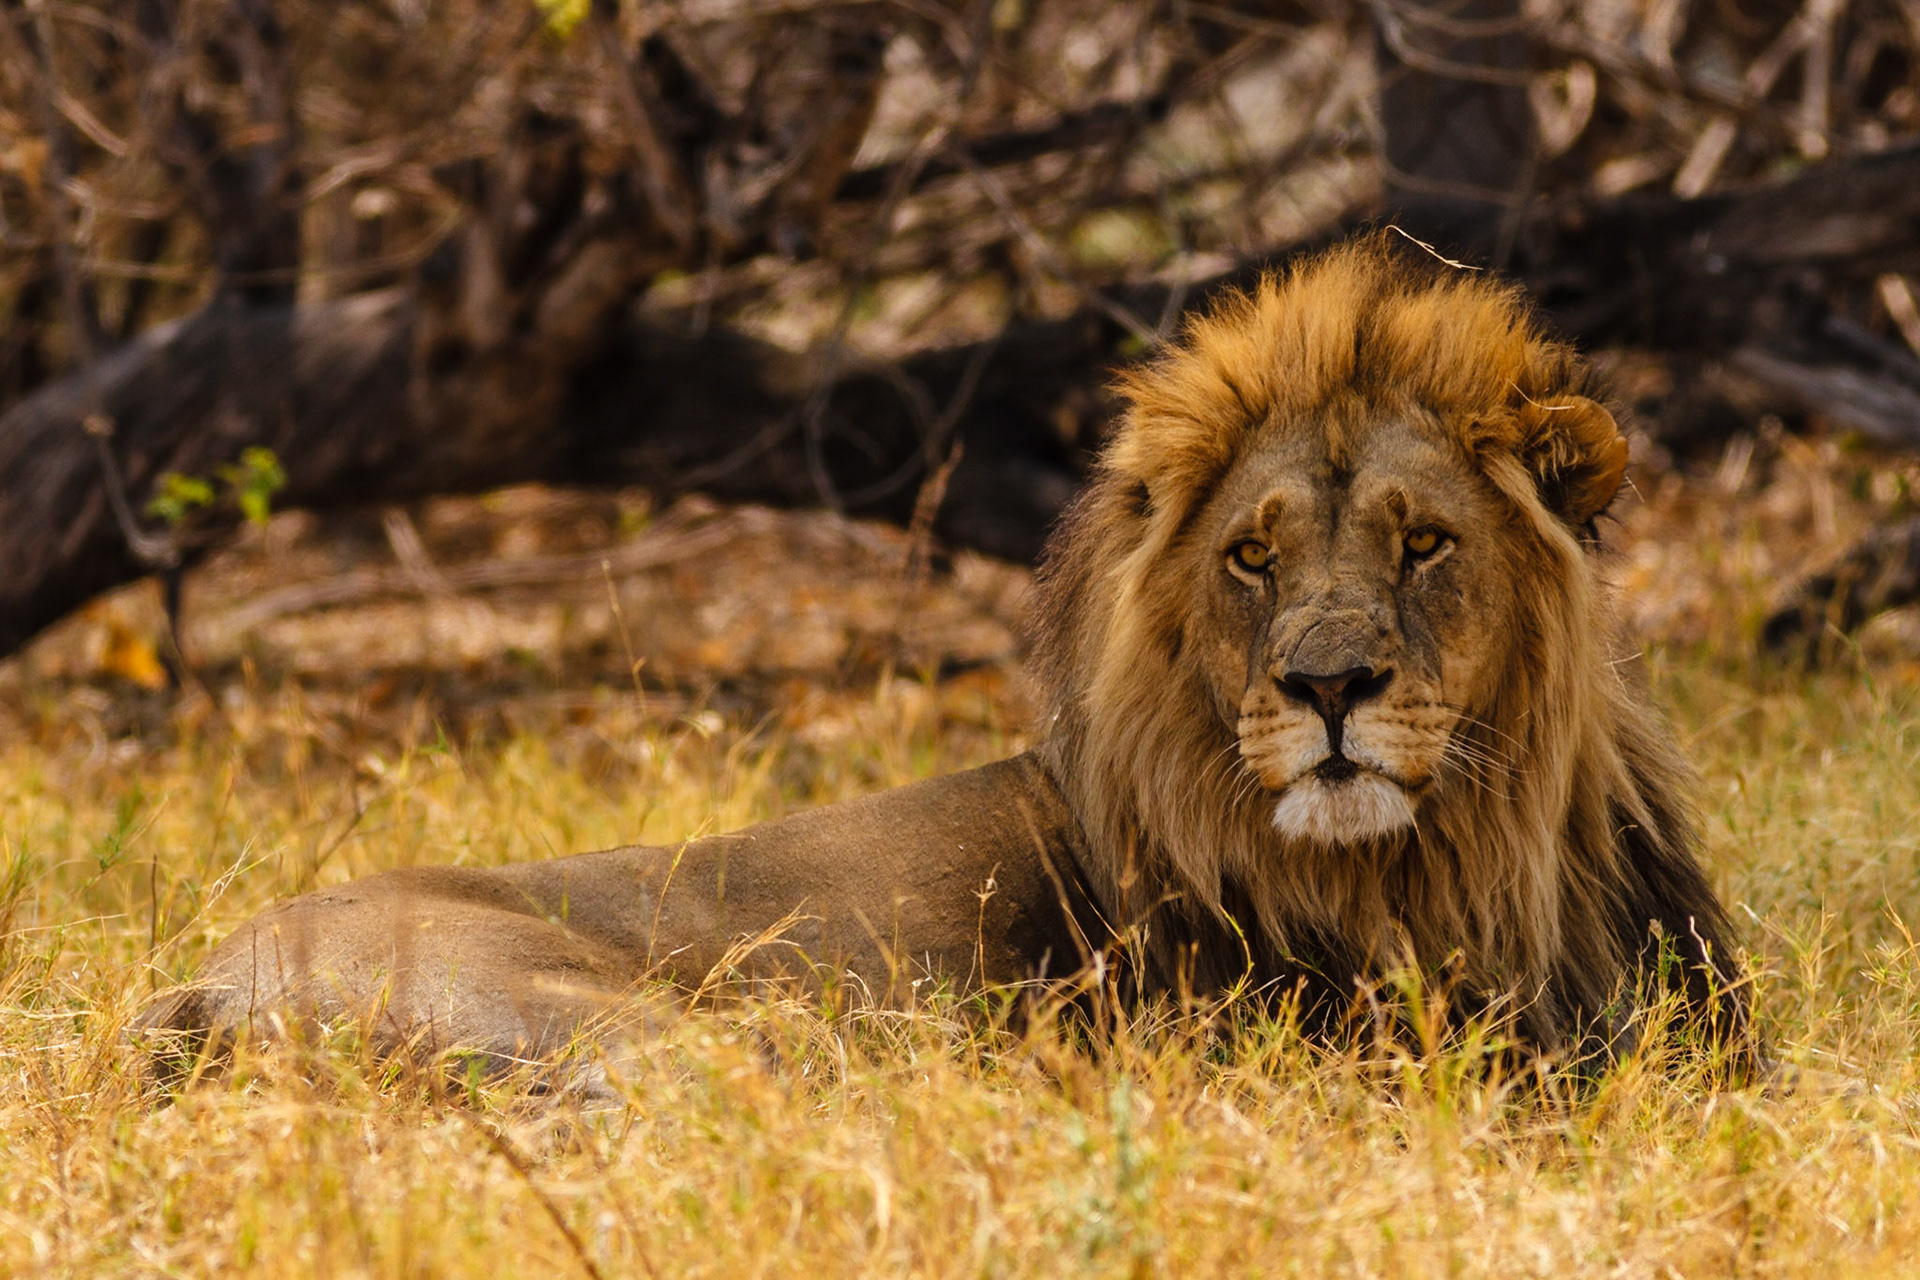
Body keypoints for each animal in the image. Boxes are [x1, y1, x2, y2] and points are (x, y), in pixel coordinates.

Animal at [136, 233, 1746, 1074]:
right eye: (1253, 557)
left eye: (1424, 545)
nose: (1329, 686)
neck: (1469, 864)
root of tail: (203, 979)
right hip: (693, 1034)